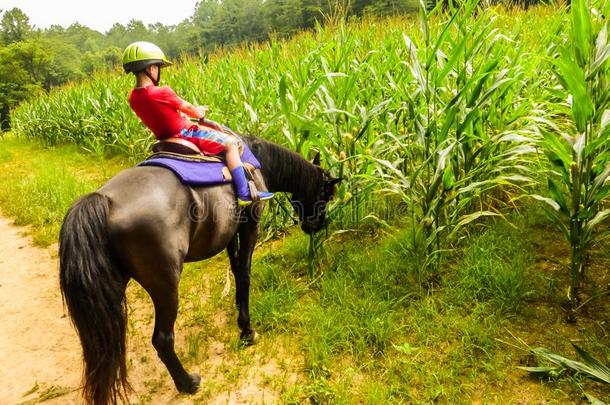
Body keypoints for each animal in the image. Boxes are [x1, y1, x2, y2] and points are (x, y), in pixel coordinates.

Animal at [59, 136, 340, 404]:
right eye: (326, 195)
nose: (315, 226)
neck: (259, 160)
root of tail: (105, 200)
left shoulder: (231, 233)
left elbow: (236, 270)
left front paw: (239, 308)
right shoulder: (251, 227)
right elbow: (245, 274)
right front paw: (247, 330)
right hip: (165, 287)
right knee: (162, 339)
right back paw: (187, 383)